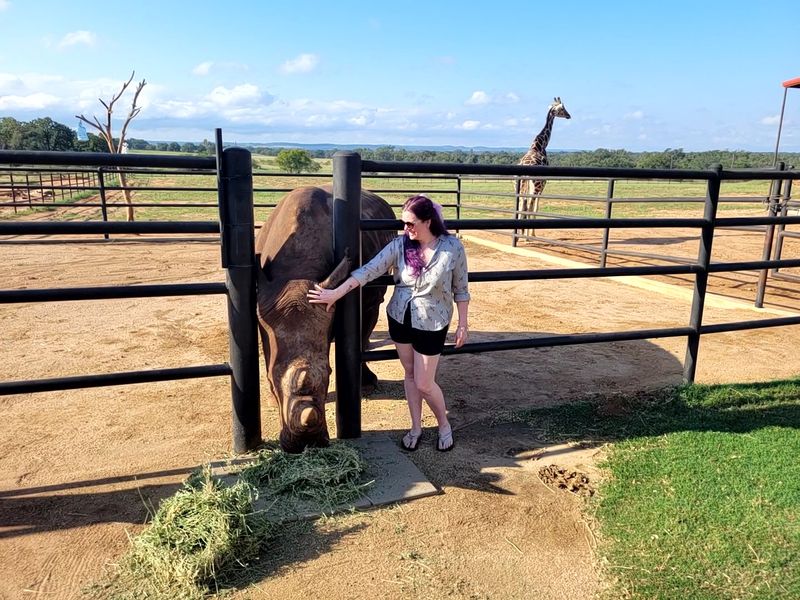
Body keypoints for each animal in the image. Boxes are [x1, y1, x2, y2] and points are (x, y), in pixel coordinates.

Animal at [517, 97, 571, 238]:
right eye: (562, 108)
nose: (569, 115)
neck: (539, 146)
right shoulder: (543, 184)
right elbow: (536, 206)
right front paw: (532, 234)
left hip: (519, 185)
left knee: (521, 203)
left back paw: (519, 233)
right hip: (535, 186)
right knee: (529, 205)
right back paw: (527, 237)